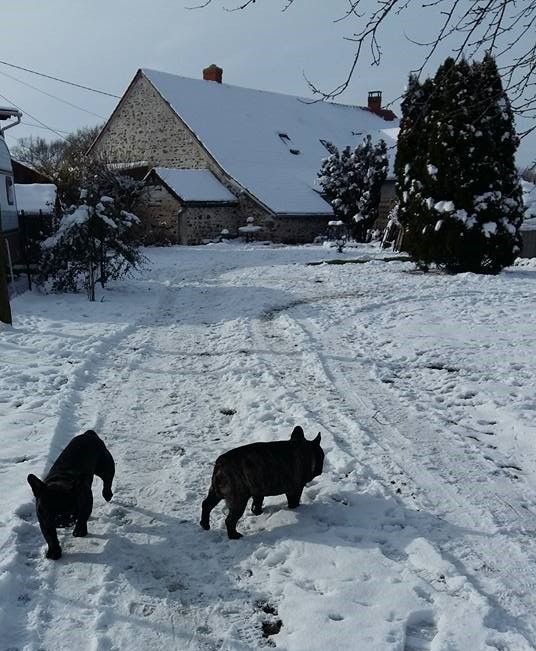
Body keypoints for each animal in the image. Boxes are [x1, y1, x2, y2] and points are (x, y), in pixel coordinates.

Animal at [27, 428, 114, 560]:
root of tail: (89, 434)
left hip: (105, 466)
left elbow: (83, 517)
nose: (59, 518)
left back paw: (107, 494)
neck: (61, 480)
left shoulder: (87, 501)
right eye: (46, 508)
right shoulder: (44, 520)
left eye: (70, 506)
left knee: (108, 480)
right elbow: (50, 536)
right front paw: (54, 552)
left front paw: (79, 531)